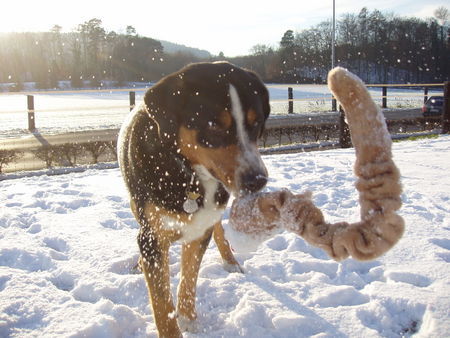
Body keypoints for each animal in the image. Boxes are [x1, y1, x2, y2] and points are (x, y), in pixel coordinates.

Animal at [118, 62, 268, 336]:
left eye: (256, 123)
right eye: (214, 125)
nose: (257, 179)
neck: (188, 176)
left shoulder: (200, 228)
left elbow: (189, 278)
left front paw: (188, 319)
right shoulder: (152, 236)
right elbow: (161, 303)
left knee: (219, 230)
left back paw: (230, 261)